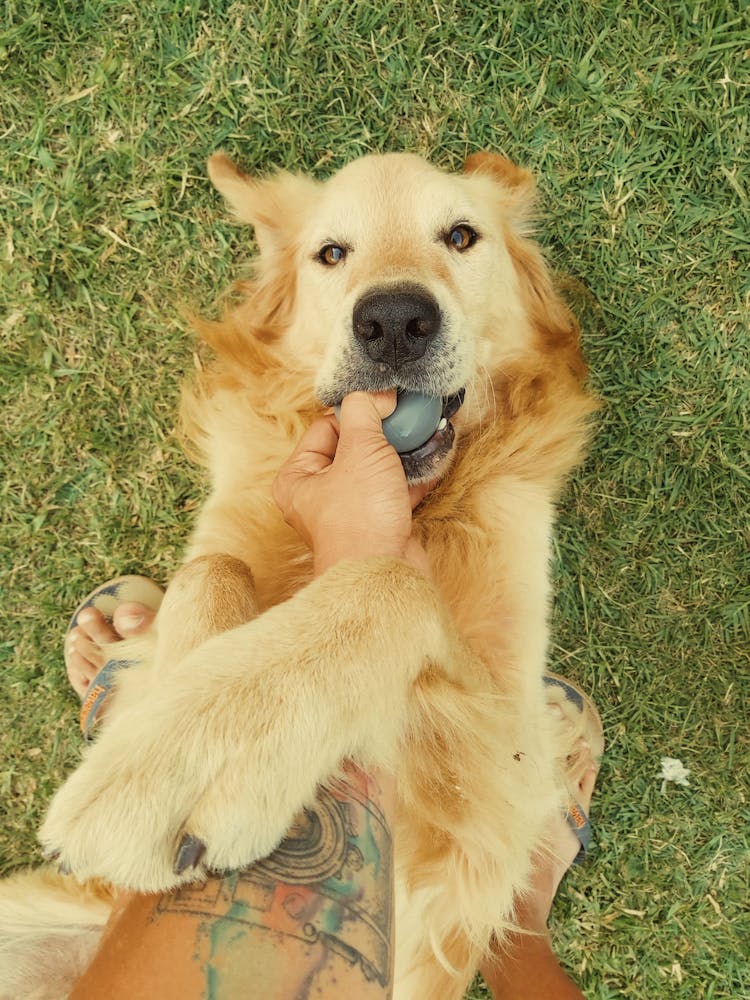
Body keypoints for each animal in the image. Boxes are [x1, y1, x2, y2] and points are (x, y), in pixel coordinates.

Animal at [0, 150, 600, 1000]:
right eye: (332, 253)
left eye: (460, 236)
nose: (393, 322)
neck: (422, 502)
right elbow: (213, 568)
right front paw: (166, 710)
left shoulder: (491, 782)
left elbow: (393, 584)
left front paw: (198, 757)